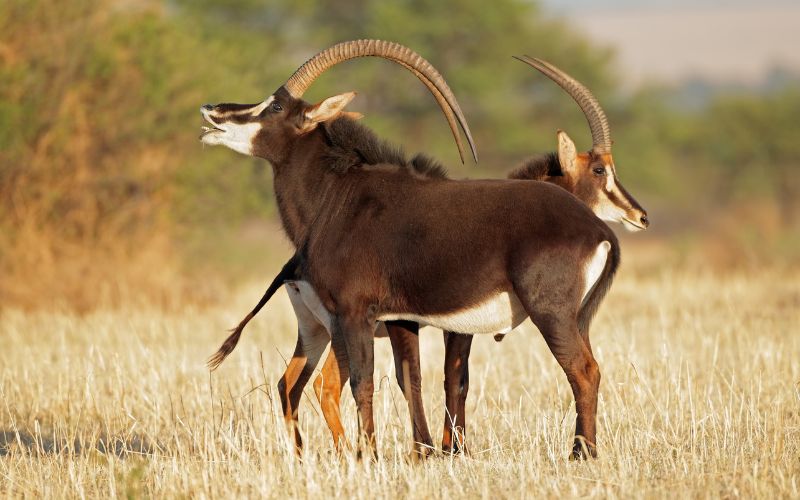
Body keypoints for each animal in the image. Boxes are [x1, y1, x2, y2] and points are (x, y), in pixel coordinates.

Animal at [200, 40, 648, 459]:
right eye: (599, 170)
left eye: (275, 105)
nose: (210, 110)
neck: (338, 195)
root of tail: (597, 229)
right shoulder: (398, 318)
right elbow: (411, 378)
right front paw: (426, 452)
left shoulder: (359, 313)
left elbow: (374, 382)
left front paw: (378, 456)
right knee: (294, 383)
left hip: (550, 314)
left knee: (584, 371)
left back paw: (580, 454)